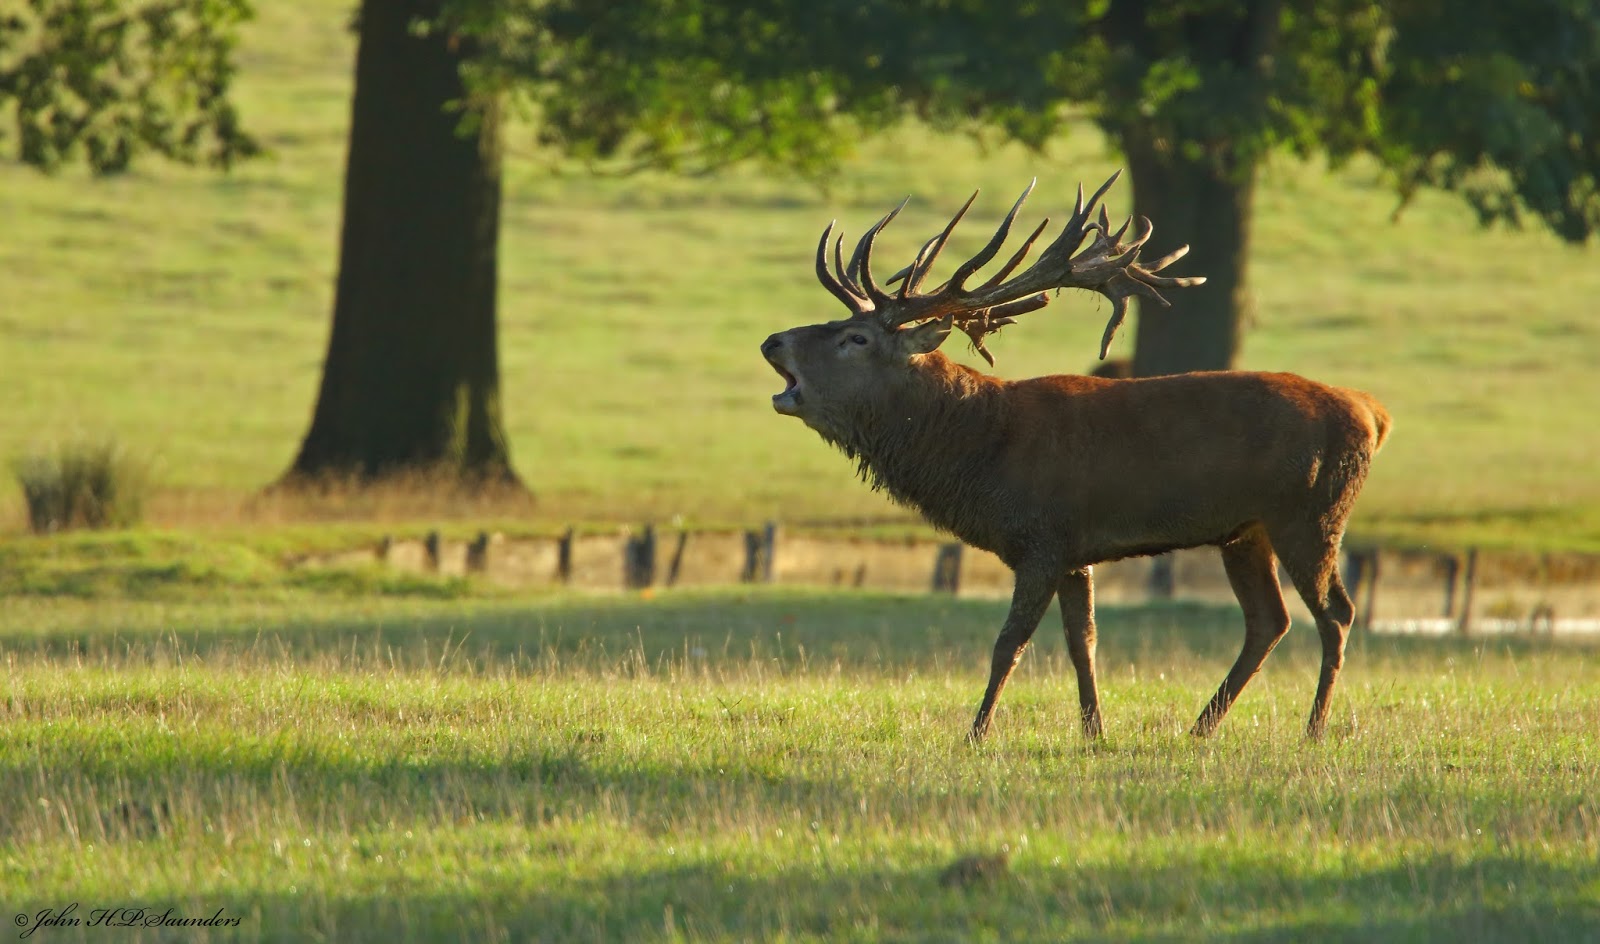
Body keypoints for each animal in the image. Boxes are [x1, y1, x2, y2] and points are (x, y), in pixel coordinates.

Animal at [761, 172, 1391, 743]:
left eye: (857, 338)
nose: (773, 341)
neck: (981, 454)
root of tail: (1373, 412)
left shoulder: (1041, 539)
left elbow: (1009, 643)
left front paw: (976, 734)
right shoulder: (1074, 550)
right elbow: (1082, 642)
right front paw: (1093, 732)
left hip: (1312, 513)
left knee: (1334, 613)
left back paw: (1314, 728)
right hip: (1246, 530)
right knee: (1268, 619)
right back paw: (1201, 728)